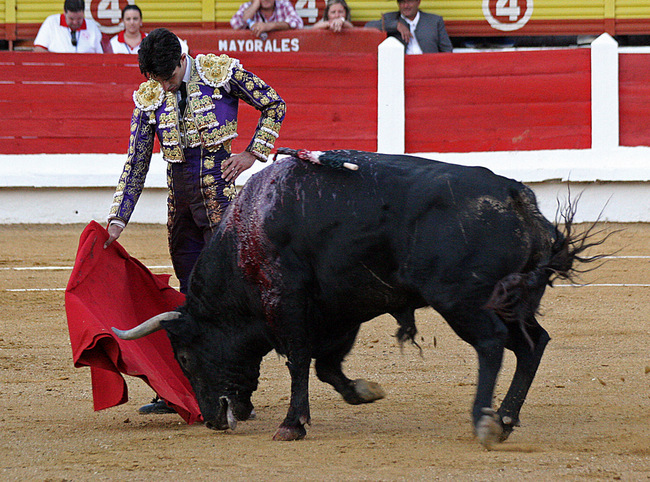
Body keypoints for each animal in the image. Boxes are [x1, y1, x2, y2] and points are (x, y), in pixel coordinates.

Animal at [112, 150, 592, 448]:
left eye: (185, 357)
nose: (212, 419)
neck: (249, 232)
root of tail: (517, 196)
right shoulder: (341, 310)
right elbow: (326, 366)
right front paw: (364, 391)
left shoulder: (287, 301)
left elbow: (299, 360)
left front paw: (291, 425)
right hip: (513, 301)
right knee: (532, 343)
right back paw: (506, 418)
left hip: (463, 301)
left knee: (492, 345)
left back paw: (485, 420)